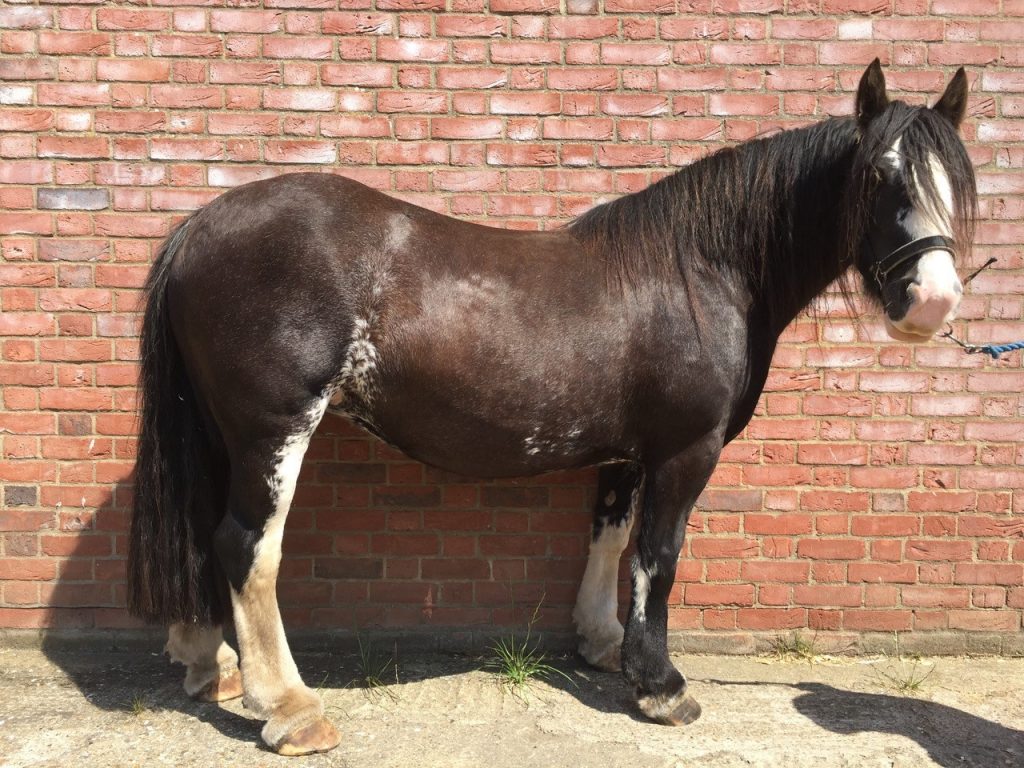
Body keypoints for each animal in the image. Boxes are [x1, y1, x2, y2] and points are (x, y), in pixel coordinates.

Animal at [127, 61, 976, 755]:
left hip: (220, 432)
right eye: (879, 178)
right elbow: (659, 556)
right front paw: (661, 687)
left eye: (954, 184)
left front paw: (604, 644)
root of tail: (199, 228)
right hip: (274, 430)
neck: (700, 272)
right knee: (246, 547)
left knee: (201, 533)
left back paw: (211, 663)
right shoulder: (686, 449)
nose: (933, 302)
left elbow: (610, 540)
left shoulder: (629, 452)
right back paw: (291, 708)